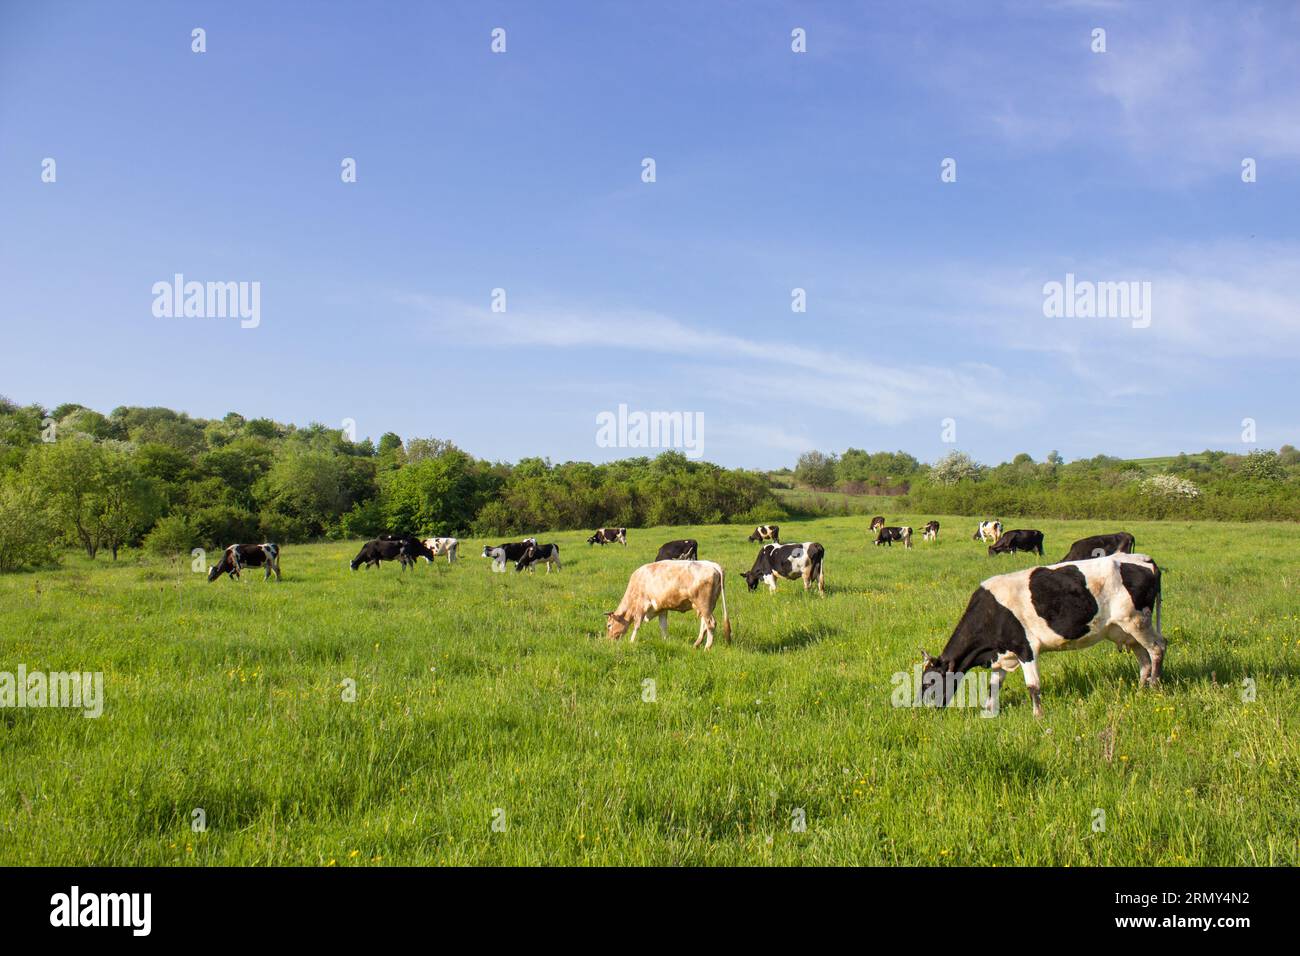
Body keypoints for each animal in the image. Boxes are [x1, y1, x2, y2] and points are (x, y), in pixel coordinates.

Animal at [918, 553, 1165, 717]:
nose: (921, 708)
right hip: (1124, 631)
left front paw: (1038, 716)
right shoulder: (1001, 654)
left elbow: (1033, 686)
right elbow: (993, 686)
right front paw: (988, 712)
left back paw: (1154, 687)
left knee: (1157, 648)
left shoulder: (1025, 648)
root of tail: (1143, 559)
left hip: (1138, 622)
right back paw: (1140, 692)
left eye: (930, 683)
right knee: (1143, 659)